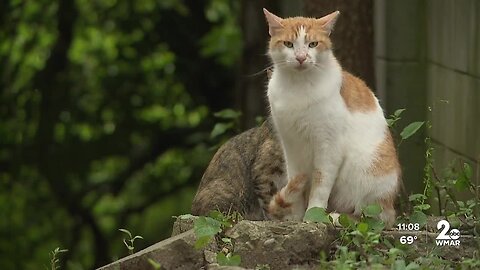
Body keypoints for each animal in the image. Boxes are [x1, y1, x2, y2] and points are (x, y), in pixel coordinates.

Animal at [264, 8, 400, 227]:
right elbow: (295, 183)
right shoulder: (290, 145)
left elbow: (320, 185)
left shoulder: (329, 147)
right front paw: (295, 216)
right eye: (288, 44)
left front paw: (312, 217)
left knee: (370, 217)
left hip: (366, 172)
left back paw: (335, 217)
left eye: (313, 44)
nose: (301, 57)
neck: (298, 86)